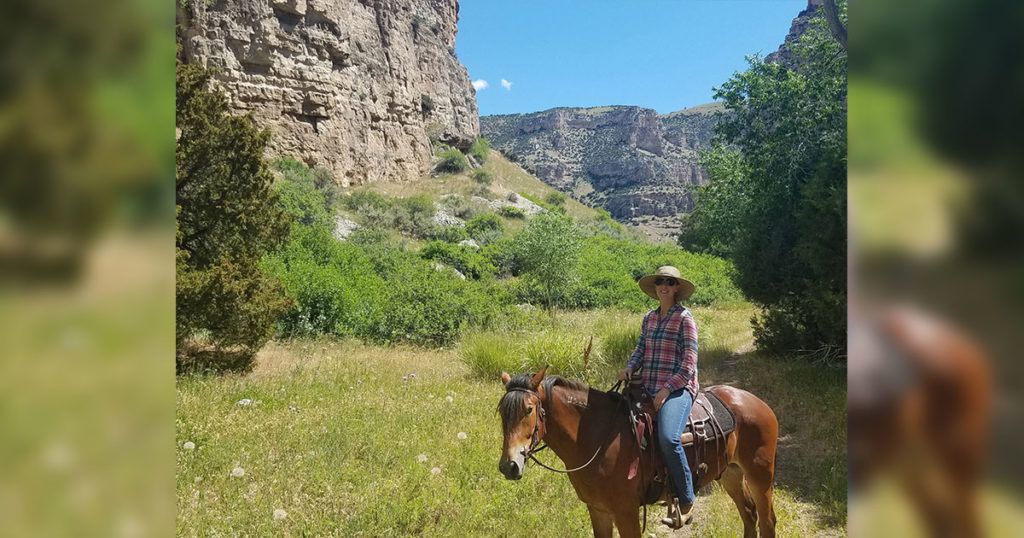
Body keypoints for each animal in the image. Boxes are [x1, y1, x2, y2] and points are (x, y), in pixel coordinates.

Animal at [497, 366, 779, 538]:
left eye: (529, 410)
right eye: (502, 412)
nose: (509, 466)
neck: (597, 439)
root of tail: (757, 402)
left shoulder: (626, 512)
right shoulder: (598, 510)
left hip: (760, 476)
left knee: (767, 521)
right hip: (731, 474)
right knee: (749, 515)